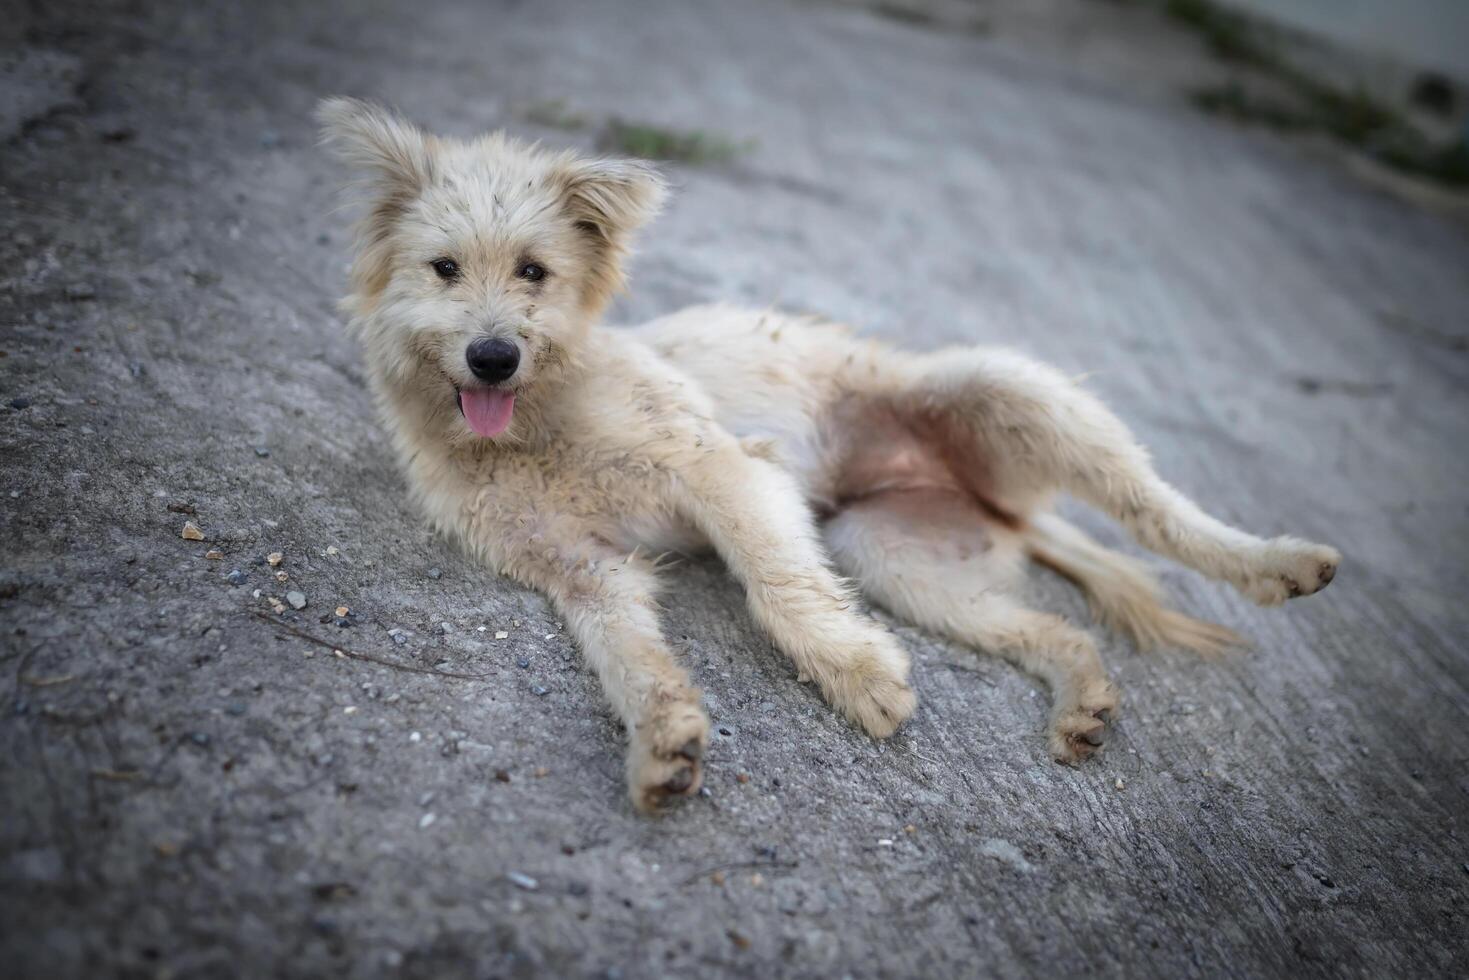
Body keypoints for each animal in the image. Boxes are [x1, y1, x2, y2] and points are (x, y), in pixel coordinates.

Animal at [318, 97, 1345, 811]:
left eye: (535, 271)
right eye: (444, 269)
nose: (494, 355)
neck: (537, 421)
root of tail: (996, 501)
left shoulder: (725, 470)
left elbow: (778, 588)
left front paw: (856, 676)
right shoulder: (580, 570)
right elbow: (630, 660)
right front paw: (665, 742)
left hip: (1011, 396)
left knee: (1154, 510)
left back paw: (1277, 563)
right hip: (898, 560)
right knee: (1060, 632)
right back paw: (1082, 707)